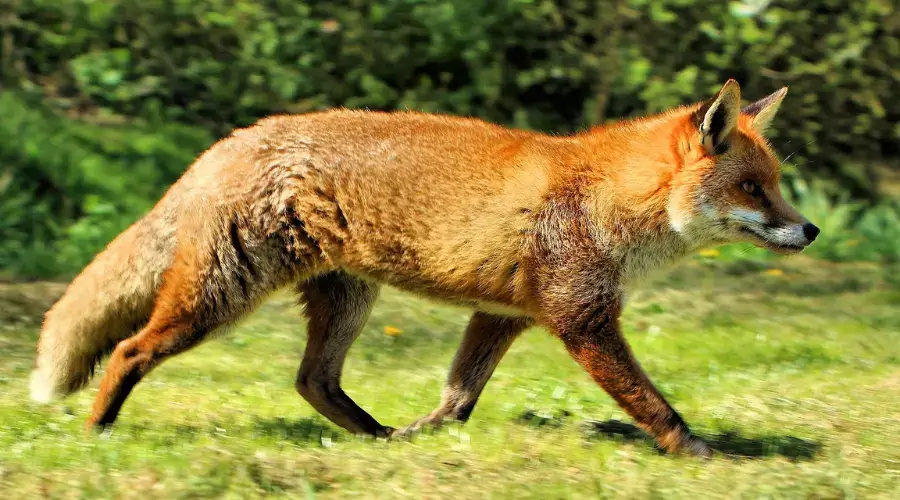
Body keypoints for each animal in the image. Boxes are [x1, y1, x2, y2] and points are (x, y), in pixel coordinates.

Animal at [29, 79, 817, 457]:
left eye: (777, 184)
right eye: (754, 188)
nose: (809, 230)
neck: (606, 196)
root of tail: (235, 138)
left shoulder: (503, 317)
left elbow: (458, 398)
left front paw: (426, 438)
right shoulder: (581, 318)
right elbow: (654, 404)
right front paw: (699, 453)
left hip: (347, 301)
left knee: (313, 381)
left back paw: (376, 439)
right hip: (223, 295)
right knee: (129, 351)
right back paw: (96, 434)